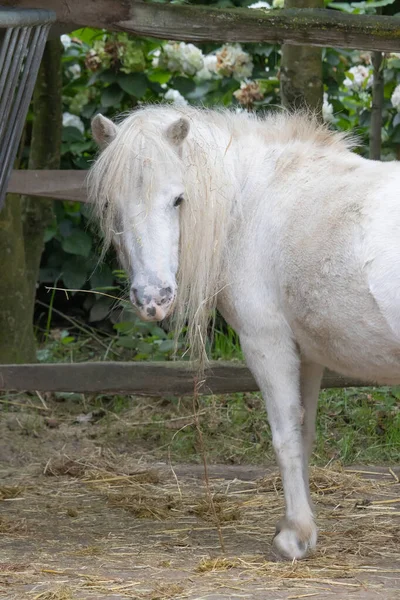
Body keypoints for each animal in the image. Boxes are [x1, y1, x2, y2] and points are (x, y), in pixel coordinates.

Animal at [90, 104, 400, 564]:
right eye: (112, 204)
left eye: (178, 199)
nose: (153, 298)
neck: (257, 200)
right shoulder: (307, 354)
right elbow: (303, 434)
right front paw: (300, 525)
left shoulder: (267, 343)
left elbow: (285, 438)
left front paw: (294, 537)